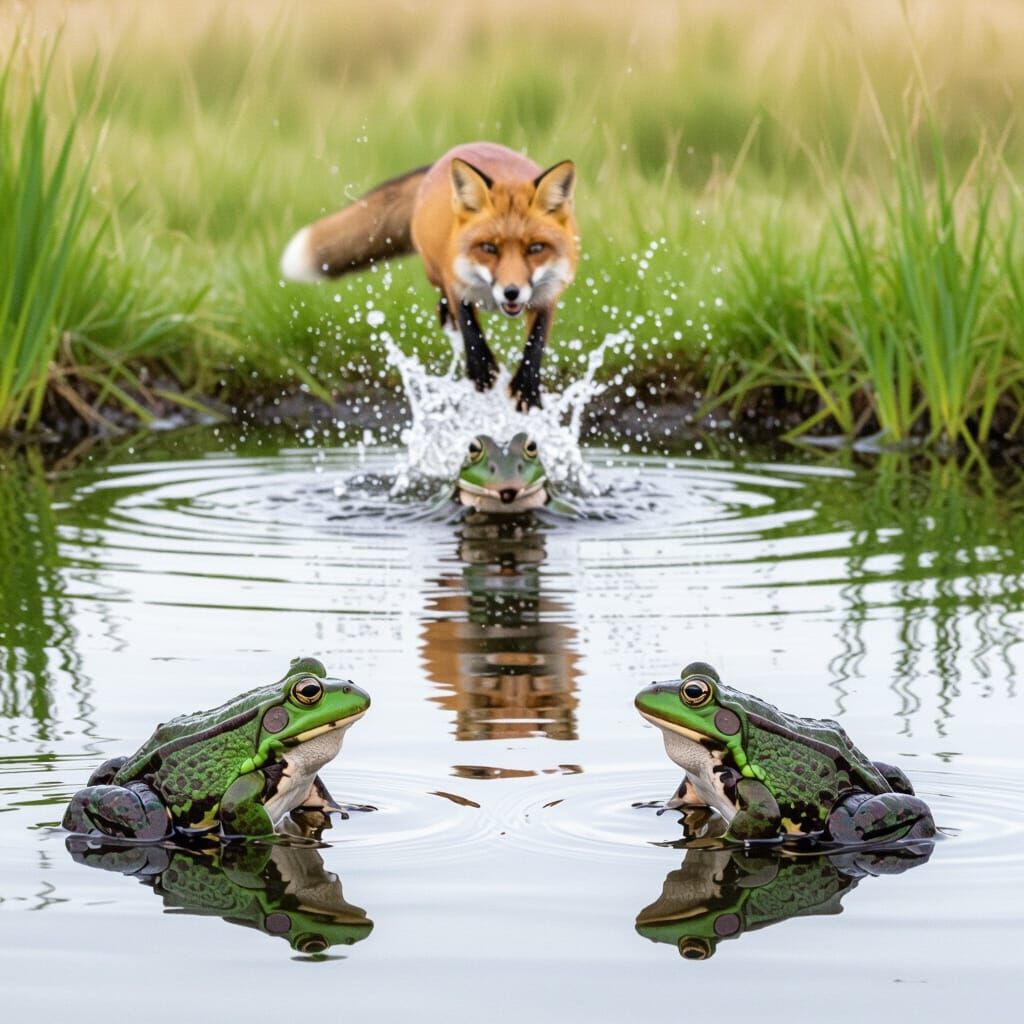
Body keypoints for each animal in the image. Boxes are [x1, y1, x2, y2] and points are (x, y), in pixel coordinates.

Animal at [280, 142, 578, 410]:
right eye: (488, 248)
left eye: (536, 248)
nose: (511, 292)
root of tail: (451, 154)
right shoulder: (455, 278)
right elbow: (470, 327)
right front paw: (481, 370)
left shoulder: (549, 291)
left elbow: (536, 342)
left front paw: (527, 388)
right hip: (432, 267)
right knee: (446, 300)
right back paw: (447, 317)